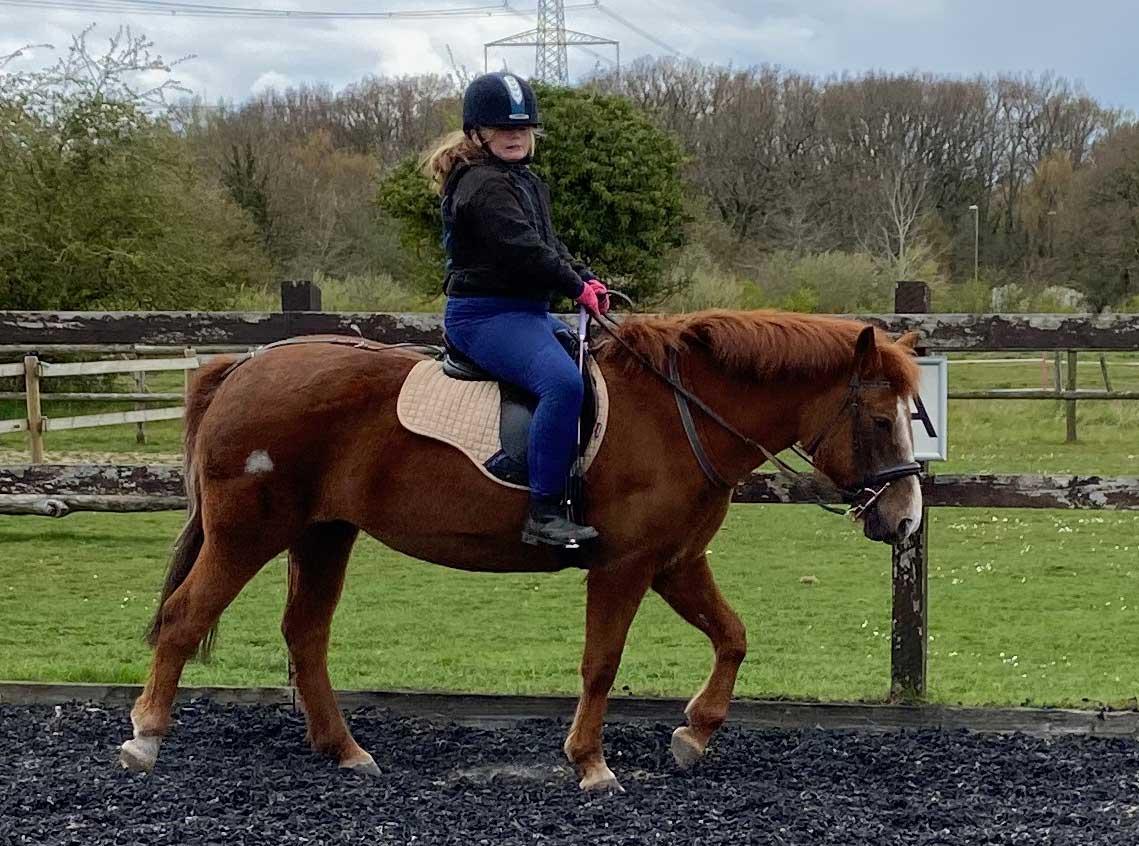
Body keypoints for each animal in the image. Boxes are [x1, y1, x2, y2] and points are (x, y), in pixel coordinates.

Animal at [122, 311, 924, 792]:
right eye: (882, 420)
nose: (905, 519)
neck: (679, 413)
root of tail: (244, 368)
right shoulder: (624, 567)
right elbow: (601, 664)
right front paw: (591, 764)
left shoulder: (673, 564)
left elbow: (733, 637)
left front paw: (694, 734)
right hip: (247, 533)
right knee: (184, 621)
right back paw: (146, 739)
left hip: (323, 534)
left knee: (305, 635)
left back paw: (344, 750)